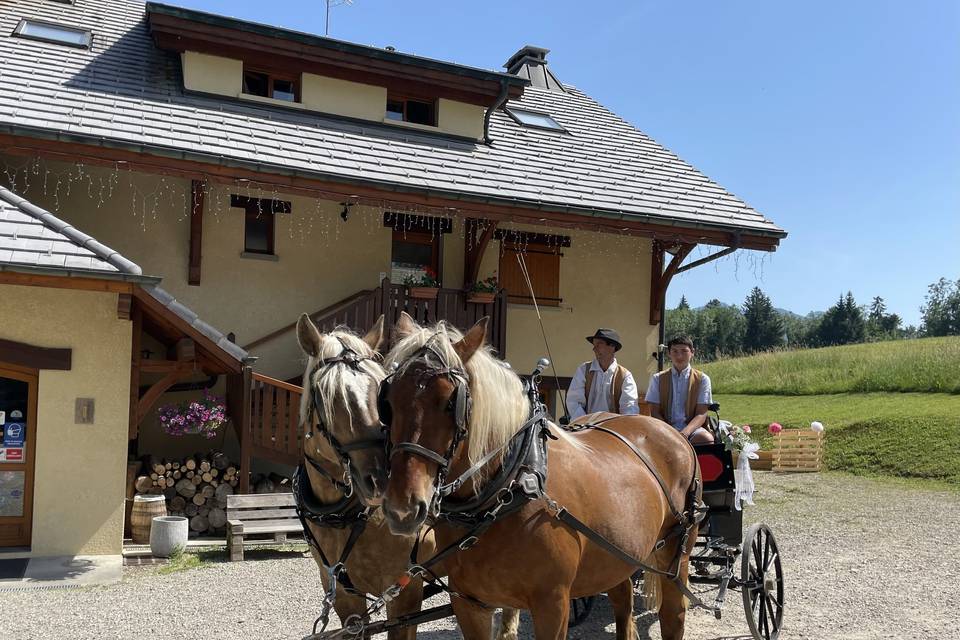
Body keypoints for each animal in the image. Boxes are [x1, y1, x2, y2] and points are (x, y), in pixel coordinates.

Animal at [294, 316, 520, 640]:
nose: (379, 480)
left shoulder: (405, 592)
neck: (347, 519)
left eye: (377, 393)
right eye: (328, 397)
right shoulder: (343, 597)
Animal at [378, 316, 700, 640]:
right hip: (619, 554)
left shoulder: (553, 604)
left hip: (676, 554)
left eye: (449, 402)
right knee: (623, 603)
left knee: (673, 615)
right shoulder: (469, 603)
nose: (402, 510)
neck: (513, 484)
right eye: (388, 402)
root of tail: (672, 433)